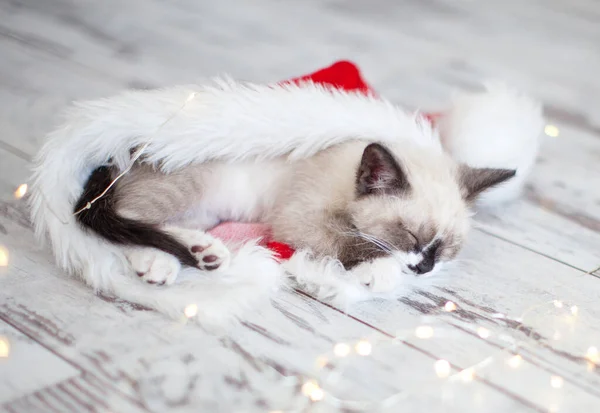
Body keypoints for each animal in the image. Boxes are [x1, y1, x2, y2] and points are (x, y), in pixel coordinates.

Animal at [76, 138, 516, 290]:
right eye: (408, 235)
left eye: (446, 248)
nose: (424, 267)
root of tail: (123, 150)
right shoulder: (299, 220)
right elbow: (351, 243)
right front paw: (381, 270)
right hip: (191, 186)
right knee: (121, 219)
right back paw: (159, 263)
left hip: (203, 210)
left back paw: (205, 252)